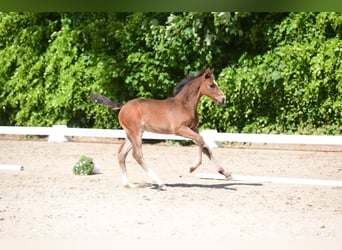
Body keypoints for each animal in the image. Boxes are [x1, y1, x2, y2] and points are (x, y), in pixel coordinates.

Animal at [91, 67, 231, 188]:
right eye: (212, 85)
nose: (223, 99)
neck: (185, 104)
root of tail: (122, 106)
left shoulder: (193, 128)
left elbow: (205, 146)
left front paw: (226, 173)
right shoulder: (179, 130)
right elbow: (201, 140)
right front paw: (192, 168)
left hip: (131, 135)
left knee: (121, 154)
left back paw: (129, 184)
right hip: (136, 133)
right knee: (137, 155)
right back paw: (159, 182)